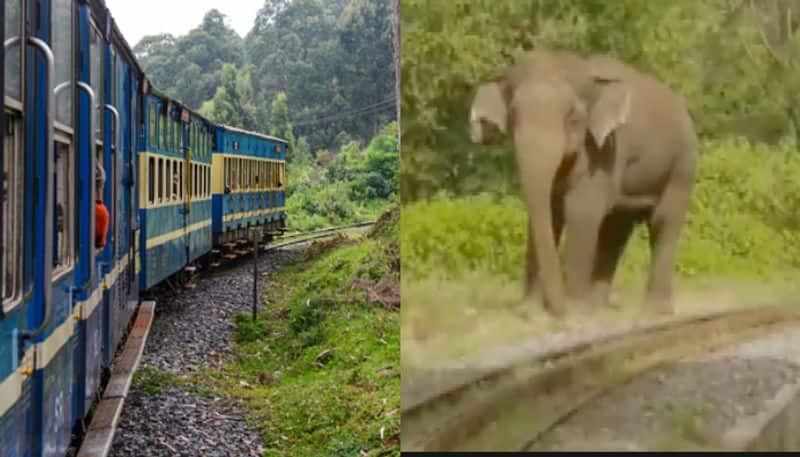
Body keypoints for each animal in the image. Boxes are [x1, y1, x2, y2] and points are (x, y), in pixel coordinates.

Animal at [466, 48, 696, 316]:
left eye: (573, 118)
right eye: (513, 115)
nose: (557, 310)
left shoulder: (604, 151)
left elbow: (582, 213)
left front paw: (574, 310)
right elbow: (550, 213)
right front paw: (530, 310)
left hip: (683, 164)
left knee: (663, 220)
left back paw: (654, 311)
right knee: (616, 228)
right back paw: (599, 306)